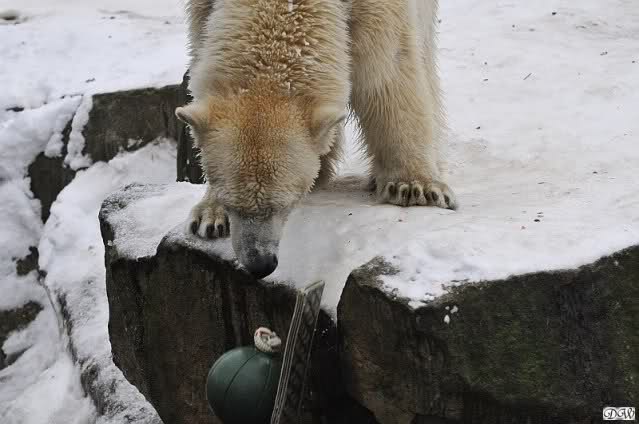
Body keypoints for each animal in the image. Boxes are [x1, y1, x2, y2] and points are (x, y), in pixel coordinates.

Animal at [176, 0, 456, 278]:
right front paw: (209, 216)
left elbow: (388, 70)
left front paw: (413, 187)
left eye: (284, 205)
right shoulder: (202, 9)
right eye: (231, 204)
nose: (260, 264)